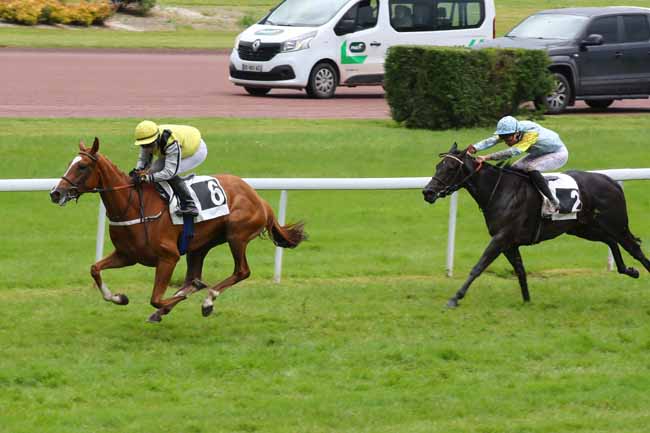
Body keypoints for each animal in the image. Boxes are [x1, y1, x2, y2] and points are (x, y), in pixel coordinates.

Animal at [49, 138, 306, 320]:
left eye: (82, 166)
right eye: (70, 164)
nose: (56, 193)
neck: (133, 205)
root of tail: (259, 199)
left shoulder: (168, 257)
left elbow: (156, 298)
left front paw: (169, 304)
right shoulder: (127, 255)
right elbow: (95, 269)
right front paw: (119, 297)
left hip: (237, 235)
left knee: (241, 271)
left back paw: (208, 300)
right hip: (199, 245)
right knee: (193, 276)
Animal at [418, 143, 644, 306]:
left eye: (451, 168)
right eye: (438, 166)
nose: (428, 192)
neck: (500, 190)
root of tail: (611, 181)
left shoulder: (501, 238)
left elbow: (478, 267)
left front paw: (455, 298)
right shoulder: (509, 243)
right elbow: (520, 270)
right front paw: (527, 301)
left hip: (617, 224)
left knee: (634, 248)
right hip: (582, 228)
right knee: (610, 241)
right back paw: (629, 270)